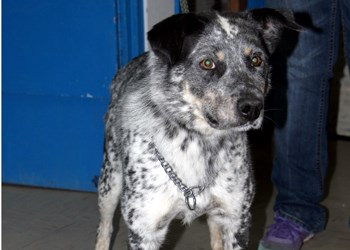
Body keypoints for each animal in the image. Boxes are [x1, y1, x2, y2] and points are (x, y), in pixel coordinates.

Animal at [95, 8, 300, 250]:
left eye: (256, 60)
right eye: (207, 63)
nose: (252, 109)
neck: (198, 142)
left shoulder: (237, 219)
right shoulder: (144, 231)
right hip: (109, 182)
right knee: (105, 226)